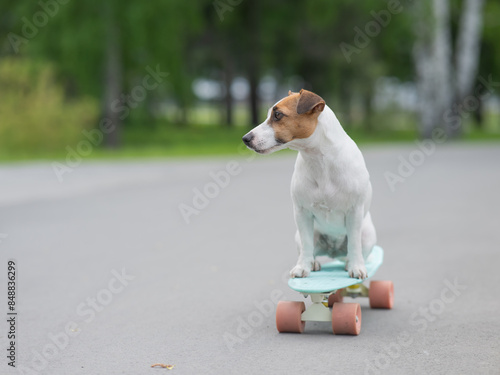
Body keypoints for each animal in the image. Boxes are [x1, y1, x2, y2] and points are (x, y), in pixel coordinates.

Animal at [241, 89, 376, 280]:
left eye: (278, 115)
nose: (245, 138)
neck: (319, 159)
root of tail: (334, 251)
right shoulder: (302, 213)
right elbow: (306, 245)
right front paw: (302, 267)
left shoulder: (354, 212)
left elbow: (355, 244)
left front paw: (357, 267)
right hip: (302, 234)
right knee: (310, 249)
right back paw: (313, 263)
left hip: (368, 234)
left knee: (355, 249)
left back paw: (350, 262)